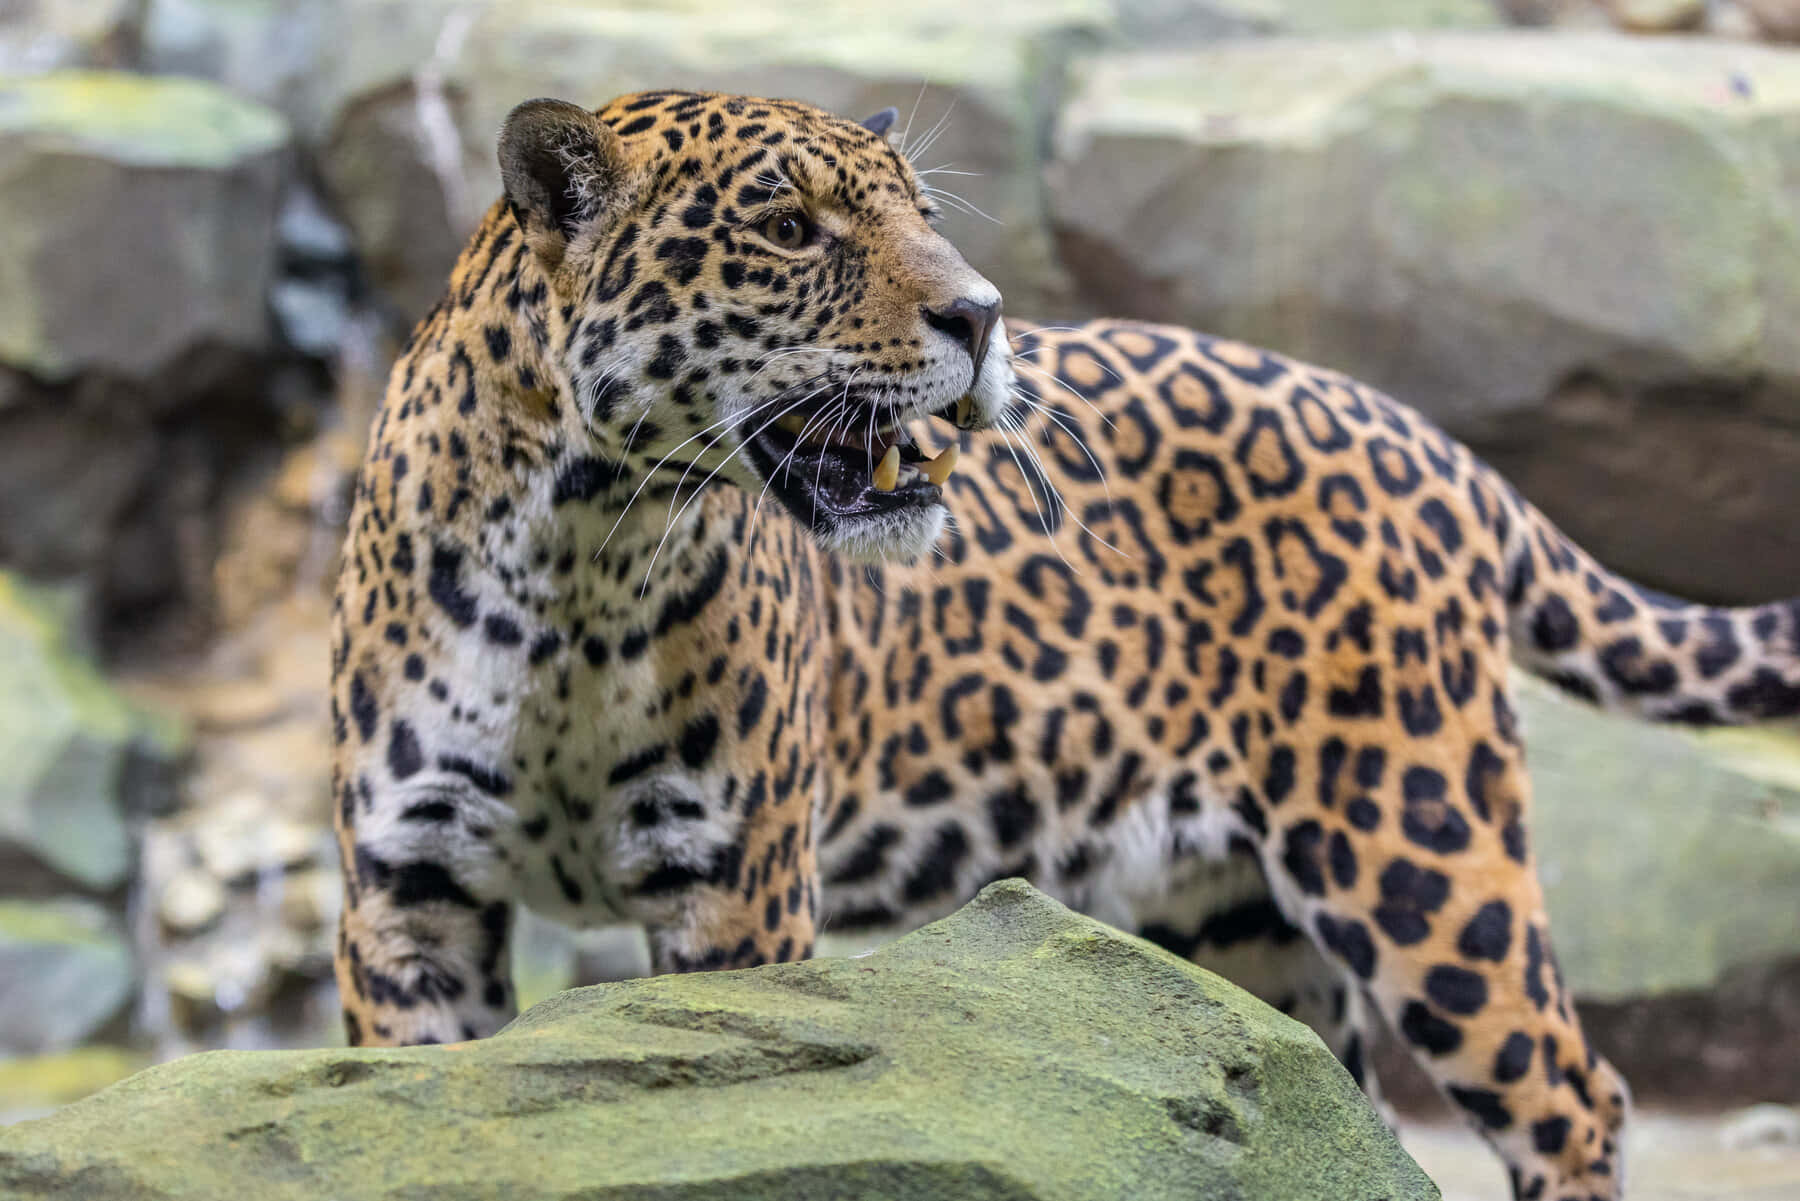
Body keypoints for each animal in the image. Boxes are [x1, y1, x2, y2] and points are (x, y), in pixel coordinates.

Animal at [329, 88, 1800, 1201]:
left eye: (923, 214)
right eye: (791, 229)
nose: (982, 316)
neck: (582, 558)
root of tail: (1430, 439)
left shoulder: (736, 893)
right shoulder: (409, 893)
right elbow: (403, 1106)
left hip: (1416, 843)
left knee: (1571, 1092)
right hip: (1246, 922)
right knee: (1320, 1102)